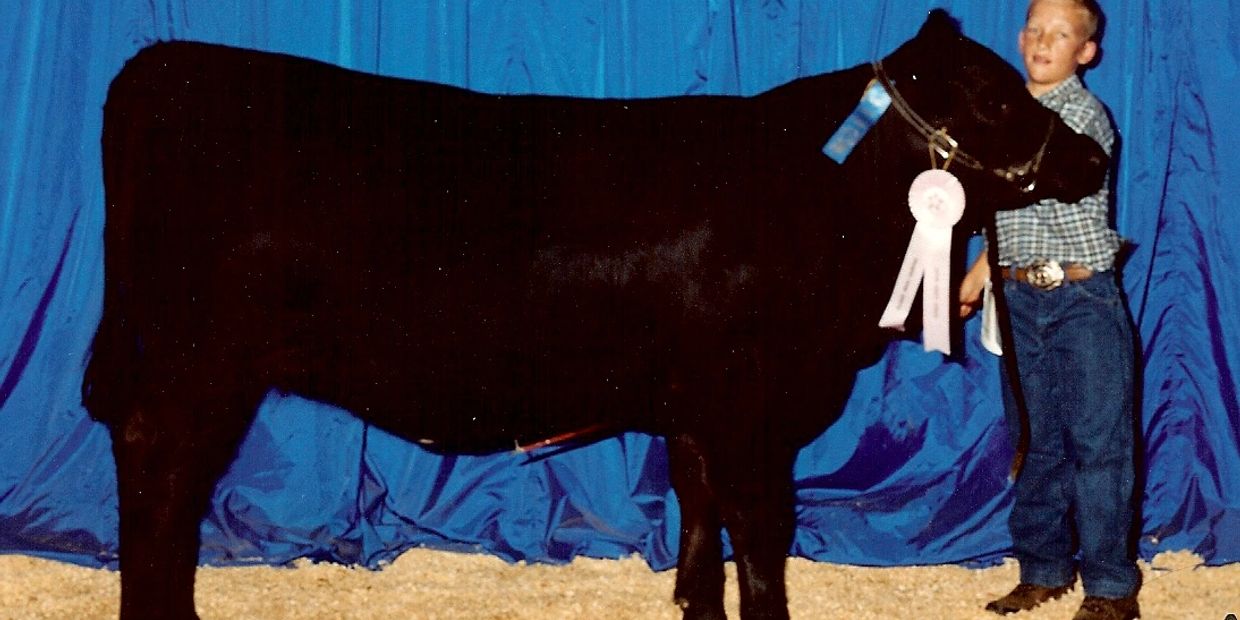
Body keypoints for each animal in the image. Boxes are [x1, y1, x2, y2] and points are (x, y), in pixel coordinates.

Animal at [82, 9, 1107, 620]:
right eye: (994, 96)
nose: (1097, 160)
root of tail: (163, 67)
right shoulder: (751, 406)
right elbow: (760, 530)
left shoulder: (699, 404)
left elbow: (698, 509)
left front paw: (695, 605)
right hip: (196, 366)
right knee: (158, 475)